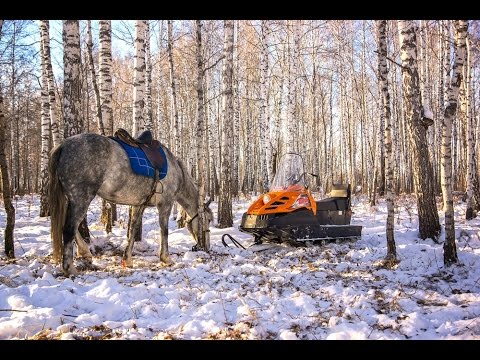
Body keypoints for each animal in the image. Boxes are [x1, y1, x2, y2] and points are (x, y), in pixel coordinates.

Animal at [47, 132, 212, 276]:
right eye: (208, 220)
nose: (206, 246)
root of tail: (63, 145)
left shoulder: (139, 205)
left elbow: (133, 229)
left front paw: (127, 260)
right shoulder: (165, 203)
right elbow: (163, 230)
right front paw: (166, 258)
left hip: (71, 199)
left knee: (69, 226)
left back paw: (84, 252)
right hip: (82, 197)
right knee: (69, 228)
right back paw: (70, 268)